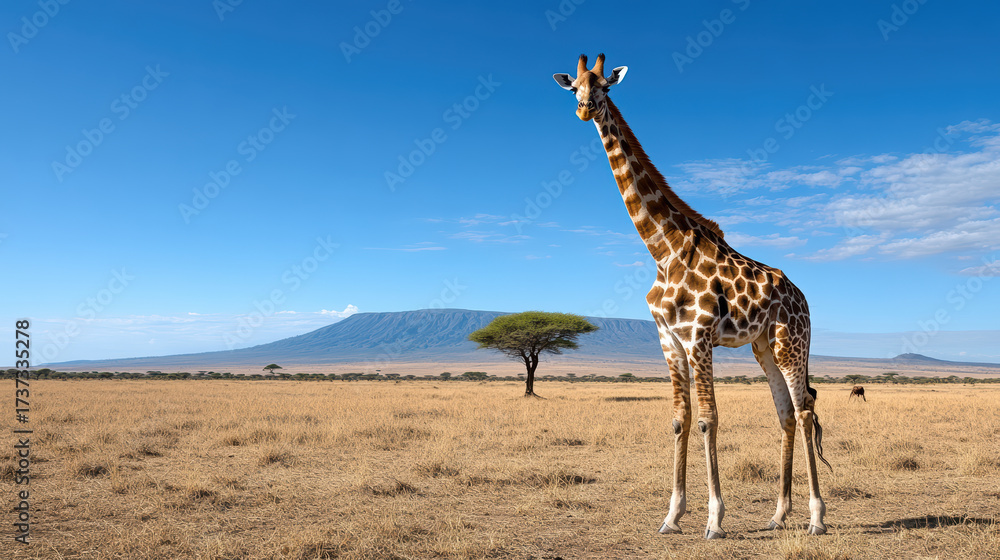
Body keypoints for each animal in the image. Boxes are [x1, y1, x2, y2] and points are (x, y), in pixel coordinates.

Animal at [553, 54, 831, 539]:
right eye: (575, 88)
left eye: (605, 87)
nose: (585, 110)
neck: (662, 249)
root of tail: (804, 300)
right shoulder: (669, 338)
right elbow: (680, 419)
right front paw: (672, 516)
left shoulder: (699, 336)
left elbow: (707, 420)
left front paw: (715, 519)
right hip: (762, 347)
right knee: (784, 412)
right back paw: (779, 514)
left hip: (791, 343)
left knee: (804, 411)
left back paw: (817, 517)